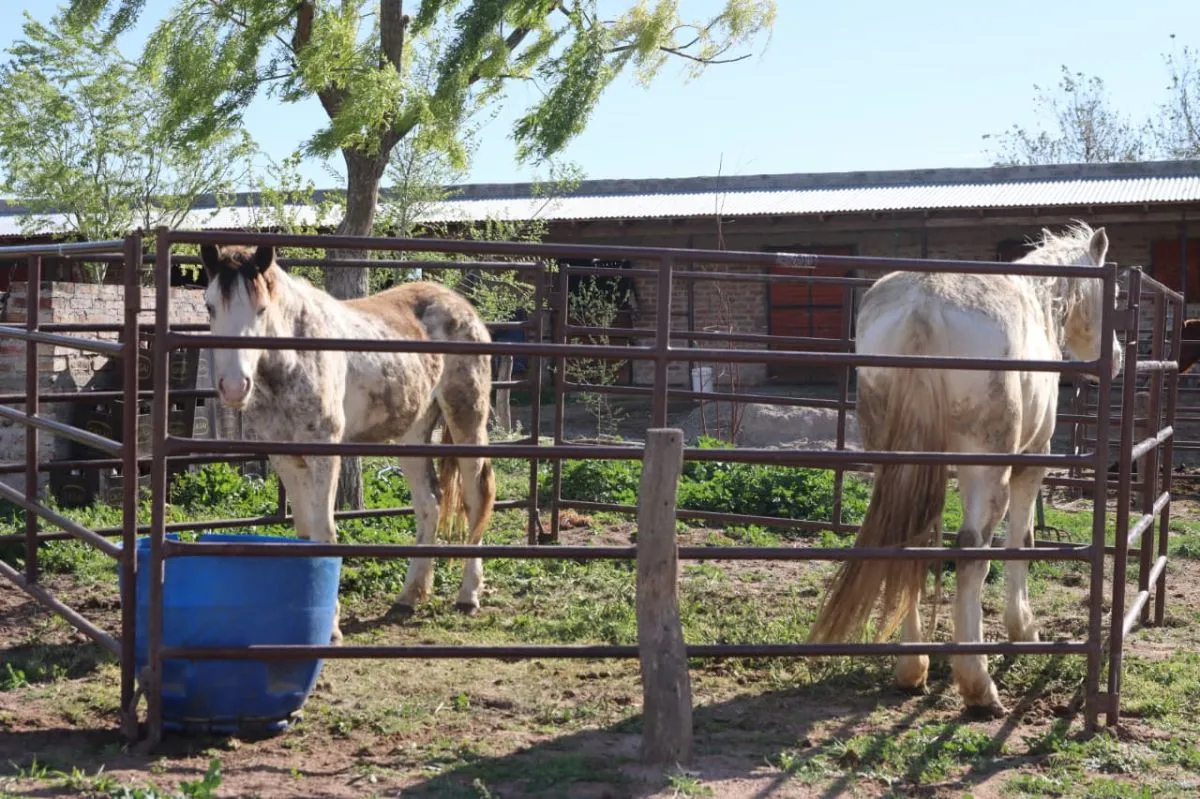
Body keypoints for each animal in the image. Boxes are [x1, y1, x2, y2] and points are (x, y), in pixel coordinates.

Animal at [199, 243, 497, 643]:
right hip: (413, 433)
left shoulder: (325, 455)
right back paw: (408, 597)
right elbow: (305, 532)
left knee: (475, 498)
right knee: (430, 505)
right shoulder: (284, 457)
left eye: (261, 309)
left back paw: (468, 595)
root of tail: (463, 306)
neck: (293, 359)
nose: (234, 387)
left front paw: (332, 627)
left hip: (467, 420)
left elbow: (324, 531)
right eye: (210, 306)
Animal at [807, 222, 1124, 717]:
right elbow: (1021, 541)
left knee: (911, 544)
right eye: (1113, 299)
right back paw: (978, 684)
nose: (1119, 356)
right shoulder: (1031, 462)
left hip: (895, 462)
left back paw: (911, 666)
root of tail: (924, 305)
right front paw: (1023, 628)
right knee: (973, 550)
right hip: (986, 470)